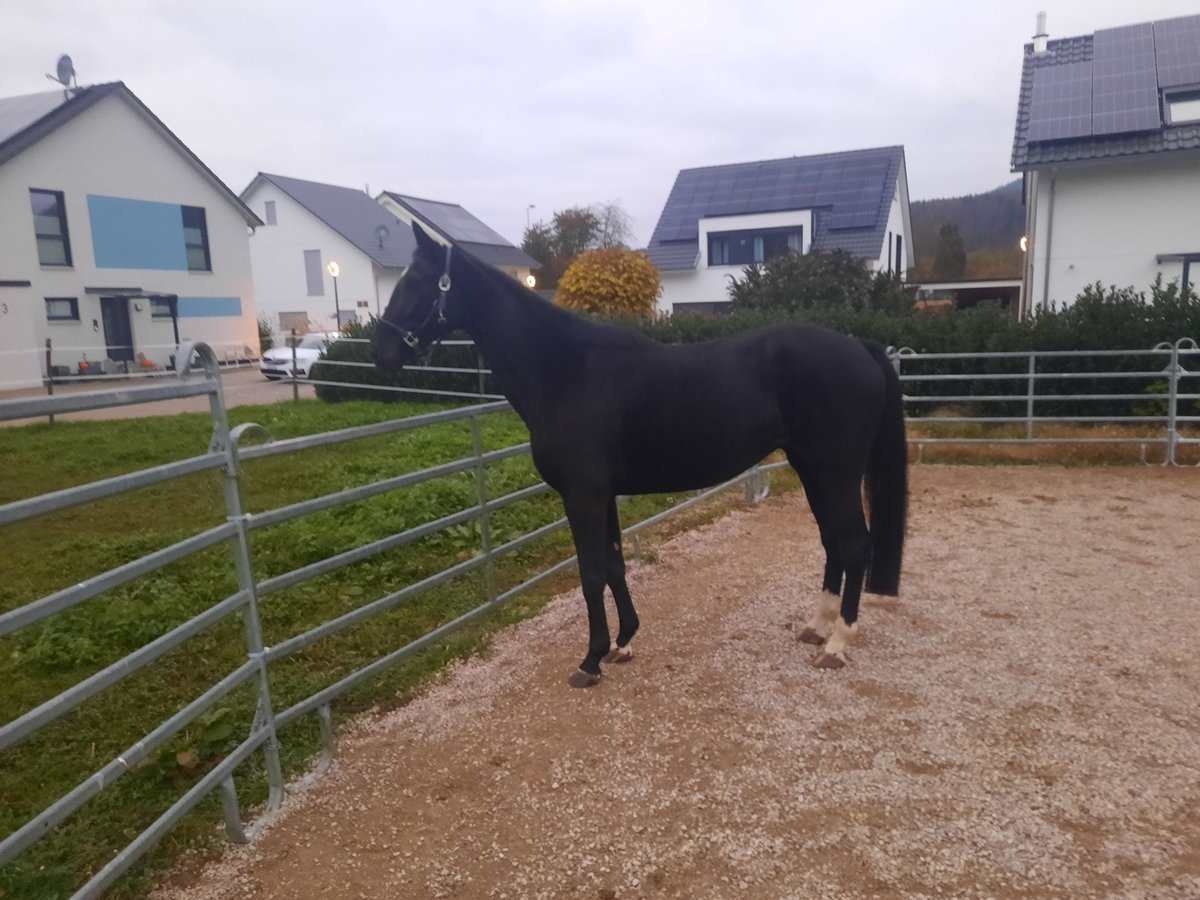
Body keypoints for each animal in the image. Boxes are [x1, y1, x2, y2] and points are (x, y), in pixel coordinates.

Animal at [369, 222, 902, 686]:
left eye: (417, 280)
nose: (381, 349)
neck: (565, 368)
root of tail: (859, 346)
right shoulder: (602, 494)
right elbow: (614, 565)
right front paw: (623, 643)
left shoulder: (582, 496)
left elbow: (590, 573)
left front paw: (590, 660)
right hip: (812, 468)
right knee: (833, 542)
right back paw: (817, 628)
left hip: (835, 472)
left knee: (854, 545)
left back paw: (837, 644)